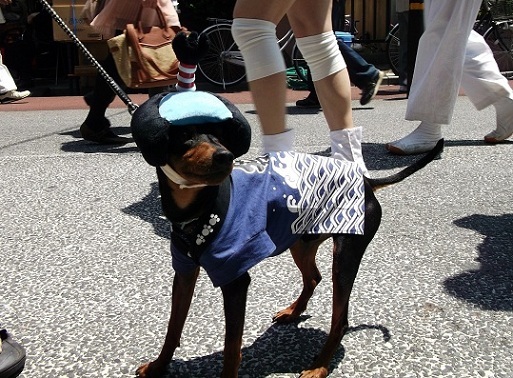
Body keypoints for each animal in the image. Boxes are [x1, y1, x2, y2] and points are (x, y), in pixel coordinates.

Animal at [130, 90, 442, 376]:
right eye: (185, 135)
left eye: (221, 136)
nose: (225, 156)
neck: (197, 209)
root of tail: (365, 181)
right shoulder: (184, 272)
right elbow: (173, 326)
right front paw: (158, 366)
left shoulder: (235, 280)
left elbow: (232, 348)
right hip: (301, 243)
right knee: (314, 277)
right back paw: (294, 311)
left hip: (345, 255)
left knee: (340, 318)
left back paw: (319, 365)